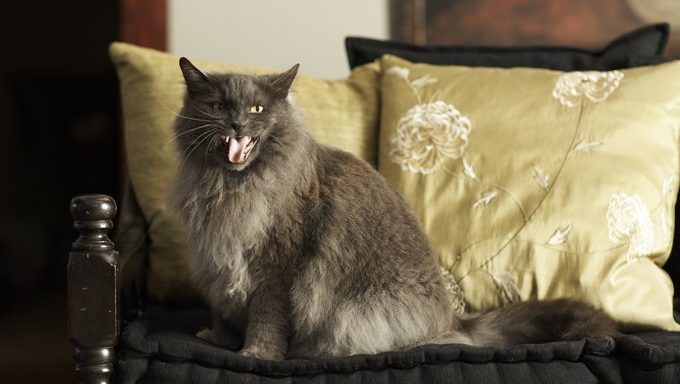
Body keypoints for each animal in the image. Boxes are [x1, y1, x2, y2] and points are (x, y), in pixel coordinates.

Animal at [170, 57, 616, 360]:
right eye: (216, 106)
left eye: (257, 110)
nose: (237, 124)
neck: (229, 189)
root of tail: (454, 318)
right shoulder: (217, 258)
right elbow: (222, 307)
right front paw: (218, 338)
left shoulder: (275, 265)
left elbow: (266, 318)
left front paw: (256, 354)